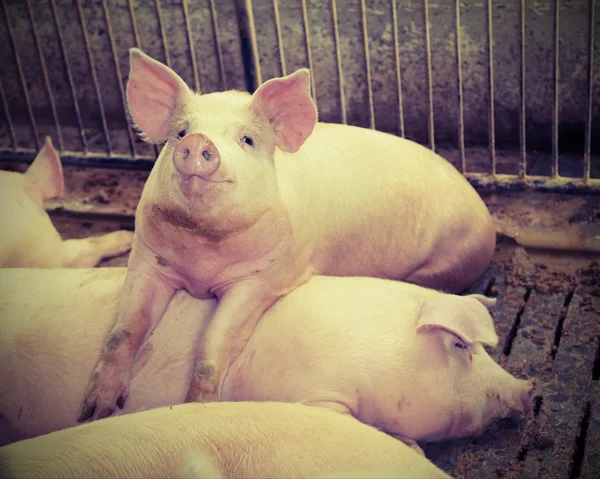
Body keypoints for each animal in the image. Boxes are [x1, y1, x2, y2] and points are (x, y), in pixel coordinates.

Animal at [76, 48, 496, 422]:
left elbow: (212, 345)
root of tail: (487, 222)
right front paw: (94, 411)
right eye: (181, 132)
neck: (203, 258)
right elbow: (123, 331)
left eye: (247, 140)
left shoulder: (266, 279)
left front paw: (198, 406)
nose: (197, 143)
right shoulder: (147, 257)